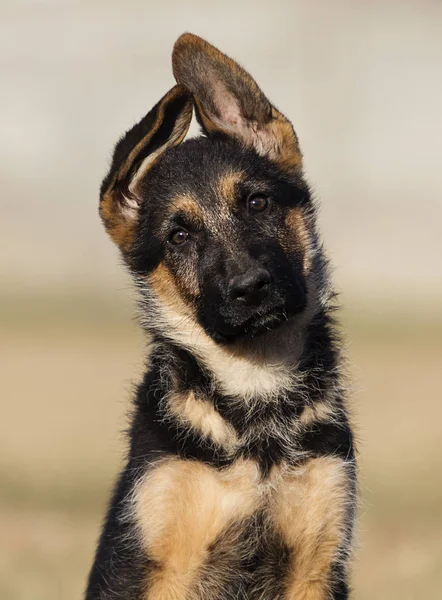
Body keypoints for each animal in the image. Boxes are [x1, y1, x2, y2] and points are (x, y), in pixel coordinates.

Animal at [85, 34, 356, 600]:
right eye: (178, 236)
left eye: (257, 203)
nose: (250, 288)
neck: (255, 392)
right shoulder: (160, 561)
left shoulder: (319, 562)